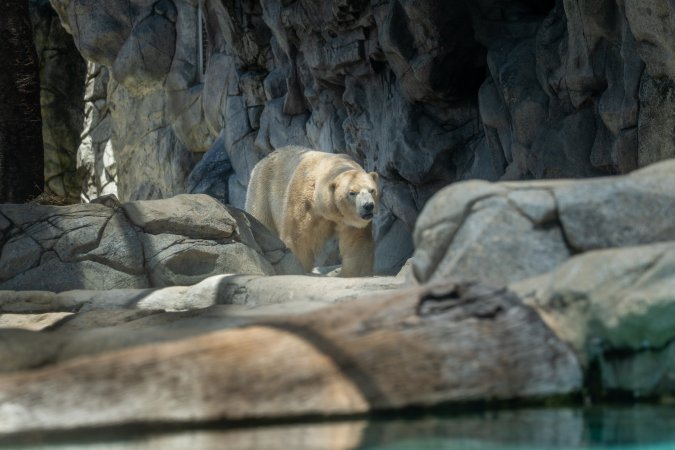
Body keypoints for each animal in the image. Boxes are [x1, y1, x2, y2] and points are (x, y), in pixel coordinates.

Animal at [245, 145, 380, 277]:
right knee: (262, 219)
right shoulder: (302, 201)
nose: (368, 206)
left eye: (372, 190)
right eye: (352, 193)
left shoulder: (349, 219)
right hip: (263, 190)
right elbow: (298, 238)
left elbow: (357, 241)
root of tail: (263, 160)